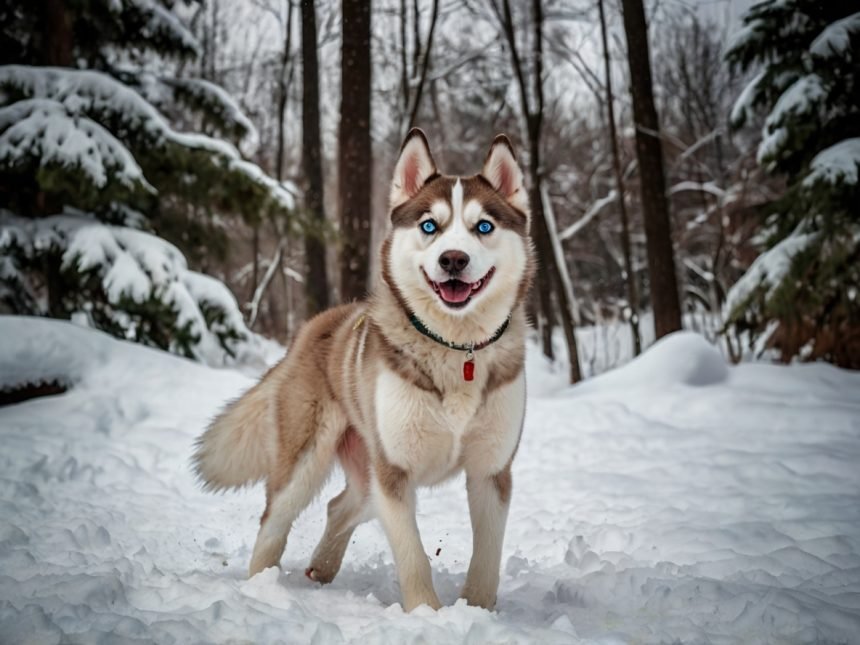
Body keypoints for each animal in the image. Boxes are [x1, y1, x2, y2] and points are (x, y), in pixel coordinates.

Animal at [193, 130, 532, 608]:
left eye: (483, 227)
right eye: (430, 226)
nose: (453, 259)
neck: (455, 348)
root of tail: (315, 324)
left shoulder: (491, 471)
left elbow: (487, 559)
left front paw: (477, 612)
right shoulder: (394, 472)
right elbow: (412, 555)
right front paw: (427, 614)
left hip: (366, 468)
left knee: (341, 505)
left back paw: (322, 566)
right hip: (309, 457)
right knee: (274, 518)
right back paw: (262, 587)